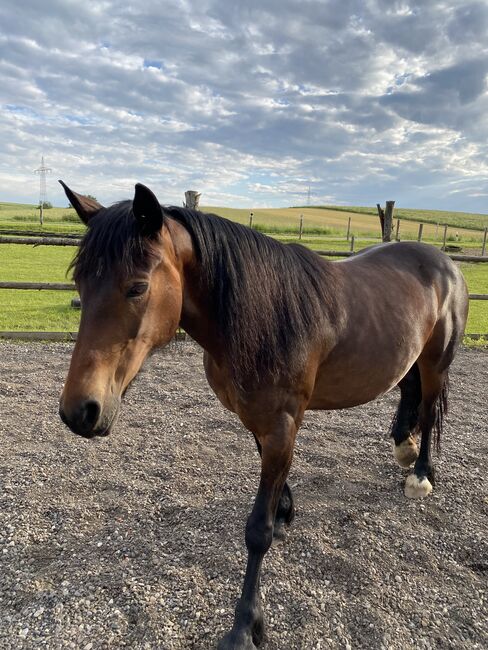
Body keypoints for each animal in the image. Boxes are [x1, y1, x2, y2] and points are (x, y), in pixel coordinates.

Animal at [57, 180, 468, 644]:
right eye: (80, 282)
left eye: (137, 287)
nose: (79, 411)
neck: (263, 317)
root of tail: (443, 262)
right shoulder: (259, 422)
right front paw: (285, 509)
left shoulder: (281, 425)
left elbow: (257, 532)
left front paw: (244, 626)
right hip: (406, 355)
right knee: (408, 392)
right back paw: (403, 447)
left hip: (436, 362)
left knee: (430, 410)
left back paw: (421, 474)